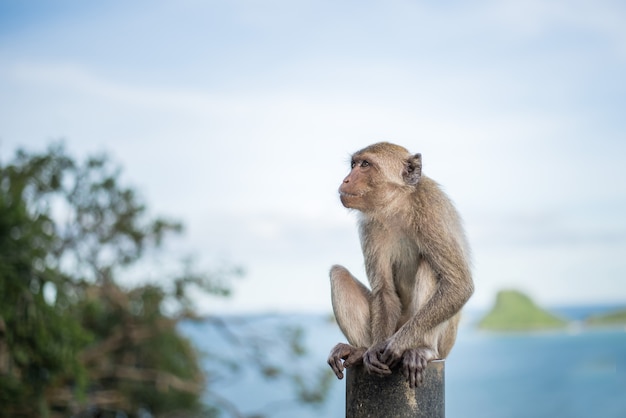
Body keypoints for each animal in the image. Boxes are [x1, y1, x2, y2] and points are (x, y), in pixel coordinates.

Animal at [324, 142, 470, 386]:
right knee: (338, 274)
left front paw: (396, 345)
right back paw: (360, 351)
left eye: (365, 164)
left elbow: (458, 285)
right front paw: (374, 350)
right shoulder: (370, 226)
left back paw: (423, 350)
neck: (398, 205)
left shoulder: (431, 212)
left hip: (443, 341)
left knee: (431, 267)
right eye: (354, 164)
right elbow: (384, 291)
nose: (346, 179)